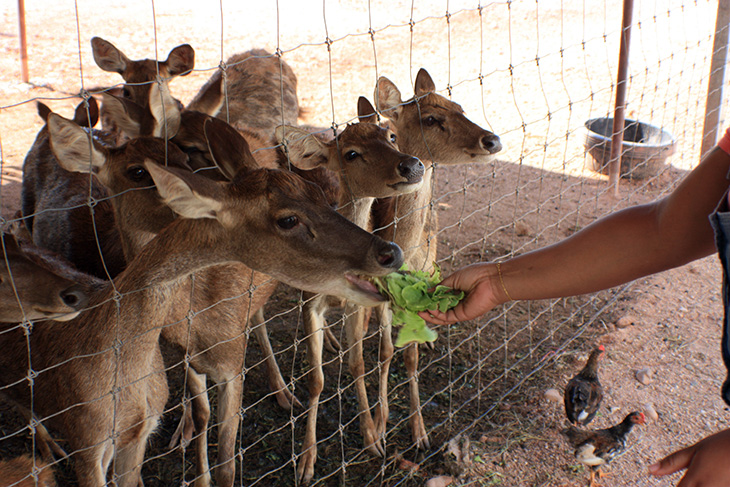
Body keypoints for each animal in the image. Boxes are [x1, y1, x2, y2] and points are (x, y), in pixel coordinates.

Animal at [0, 107, 400, 487]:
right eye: (287, 220)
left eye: (320, 197)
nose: (389, 252)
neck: (196, 317)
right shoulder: (184, 360)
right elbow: (203, 415)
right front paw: (197, 468)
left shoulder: (231, 362)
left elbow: (228, 462)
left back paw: (289, 388)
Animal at [274, 96, 424, 484]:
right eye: (352, 154)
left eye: (390, 135)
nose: (410, 164)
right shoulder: (311, 301)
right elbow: (315, 380)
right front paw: (306, 462)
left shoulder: (358, 304)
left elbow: (358, 364)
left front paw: (372, 437)